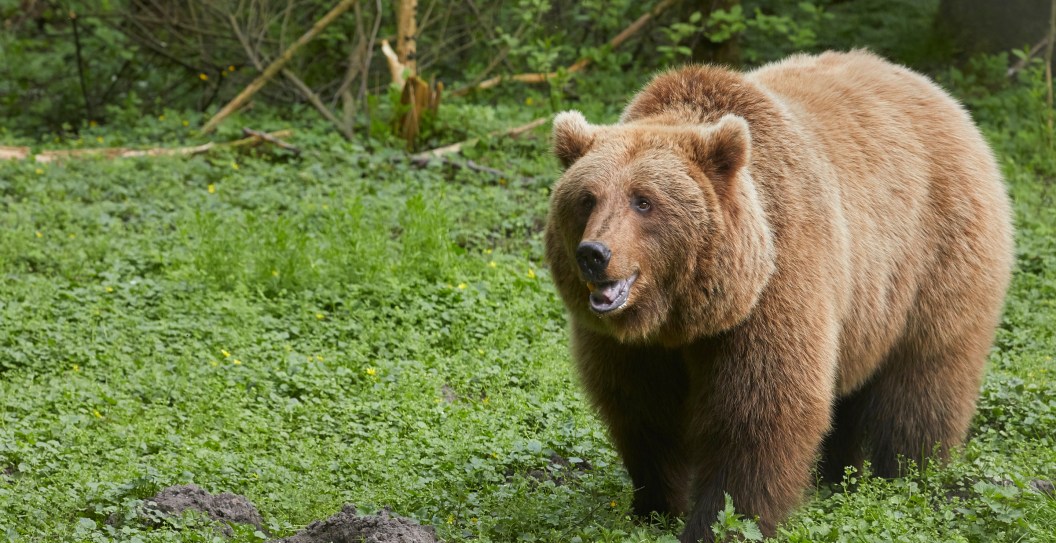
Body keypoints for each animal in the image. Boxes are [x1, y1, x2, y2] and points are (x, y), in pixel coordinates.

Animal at [544, 50, 1013, 542]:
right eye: (587, 198)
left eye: (643, 201)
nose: (594, 254)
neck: (683, 315)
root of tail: (938, 93)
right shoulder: (632, 347)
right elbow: (643, 410)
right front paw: (653, 506)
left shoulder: (776, 284)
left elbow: (759, 412)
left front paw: (723, 520)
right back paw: (838, 477)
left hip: (934, 258)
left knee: (922, 380)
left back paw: (908, 475)